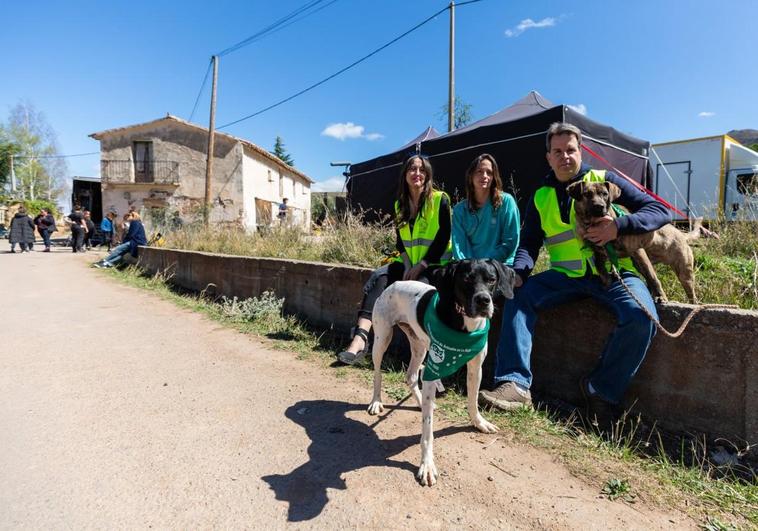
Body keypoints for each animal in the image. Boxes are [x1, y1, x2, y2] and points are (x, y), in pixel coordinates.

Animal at [366, 260, 516, 488]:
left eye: (491, 279)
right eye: (466, 278)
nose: (483, 300)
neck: (464, 325)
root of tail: (395, 283)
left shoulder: (476, 367)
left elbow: (473, 401)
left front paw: (479, 422)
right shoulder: (433, 370)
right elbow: (427, 431)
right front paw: (427, 465)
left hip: (419, 346)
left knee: (411, 376)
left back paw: (421, 402)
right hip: (382, 340)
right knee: (377, 374)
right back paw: (376, 401)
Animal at [568, 181, 712, 304]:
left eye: (604, 194)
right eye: (587, 194)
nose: (599, 207)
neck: (594, 223)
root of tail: (681, 234)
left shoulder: (638, 251)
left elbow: (654, 278)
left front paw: (662, 297)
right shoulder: (599, 253)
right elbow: (600, 267)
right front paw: (607, 280)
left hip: (684, 272)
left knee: (690, 294)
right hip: (639, 264)